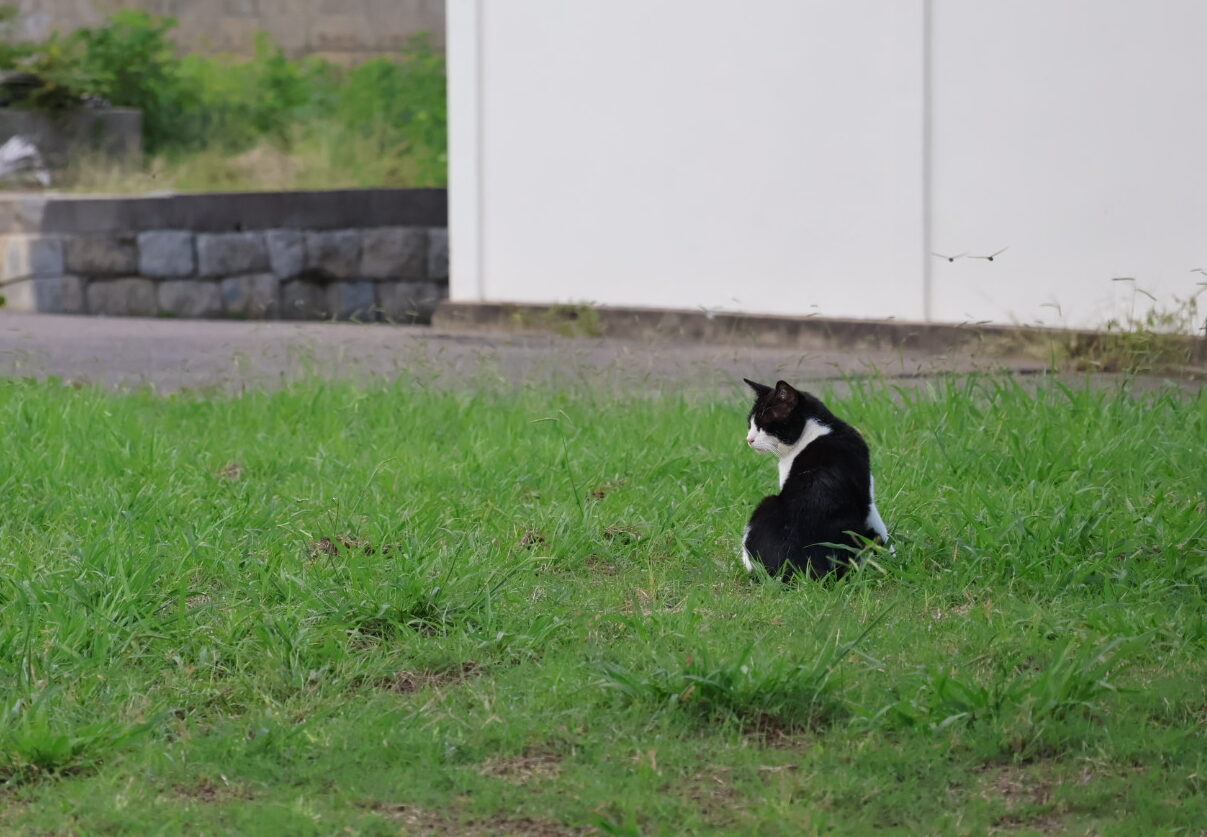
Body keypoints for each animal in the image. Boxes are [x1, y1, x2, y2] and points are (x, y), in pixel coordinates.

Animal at [733, 376, 888, 577]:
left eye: (764, 426)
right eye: (750, 424)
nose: (749, 439)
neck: (815, 431)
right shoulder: (867, 492)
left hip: (766, 503)